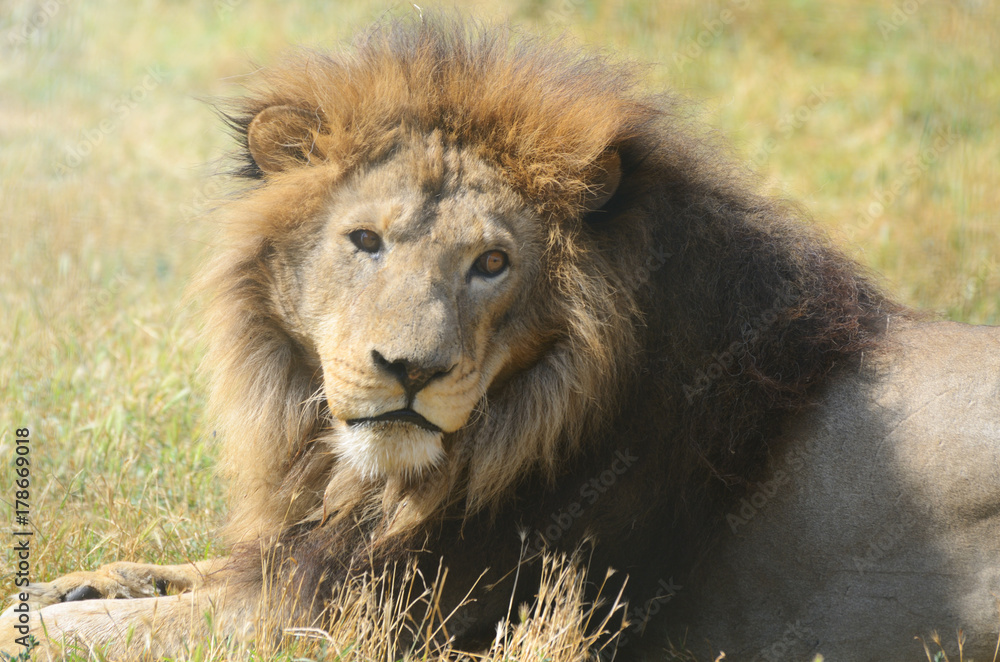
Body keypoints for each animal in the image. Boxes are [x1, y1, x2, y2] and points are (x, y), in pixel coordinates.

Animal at [3, 14, 1000, 662]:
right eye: (365, 241)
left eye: (491, 263)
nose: (408, 369)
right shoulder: (320, 557)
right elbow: (181, 576)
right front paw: (68, 583)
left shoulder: (376, 619)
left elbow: (154, 628)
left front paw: (47, 623)